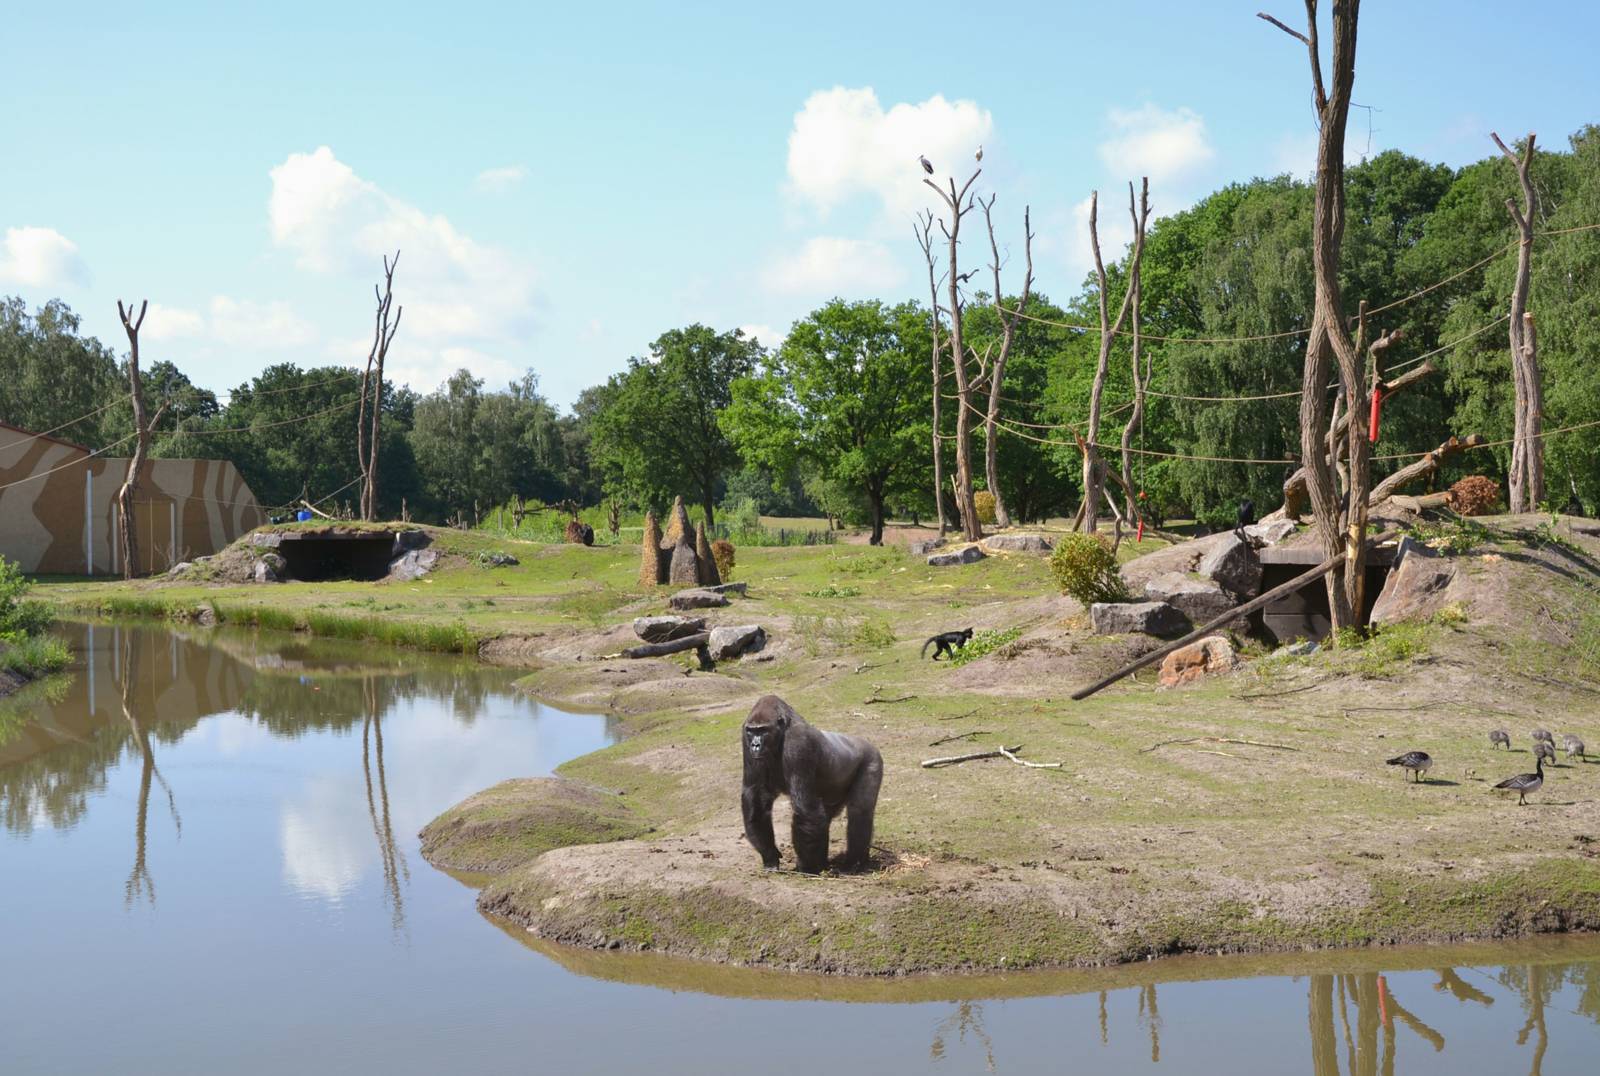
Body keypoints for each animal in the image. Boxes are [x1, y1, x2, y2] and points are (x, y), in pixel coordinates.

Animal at [739, 698, 883, 871]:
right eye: (751, 731)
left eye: (763, 730)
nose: (755, 745)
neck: (782, 731)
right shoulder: (745, 739)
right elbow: (756, 796)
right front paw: (770, 855)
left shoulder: (799, 742)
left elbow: (805, 807)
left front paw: (807, 868)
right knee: (824, 818)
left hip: (873, 758)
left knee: (859, 812)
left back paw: (854, 863)